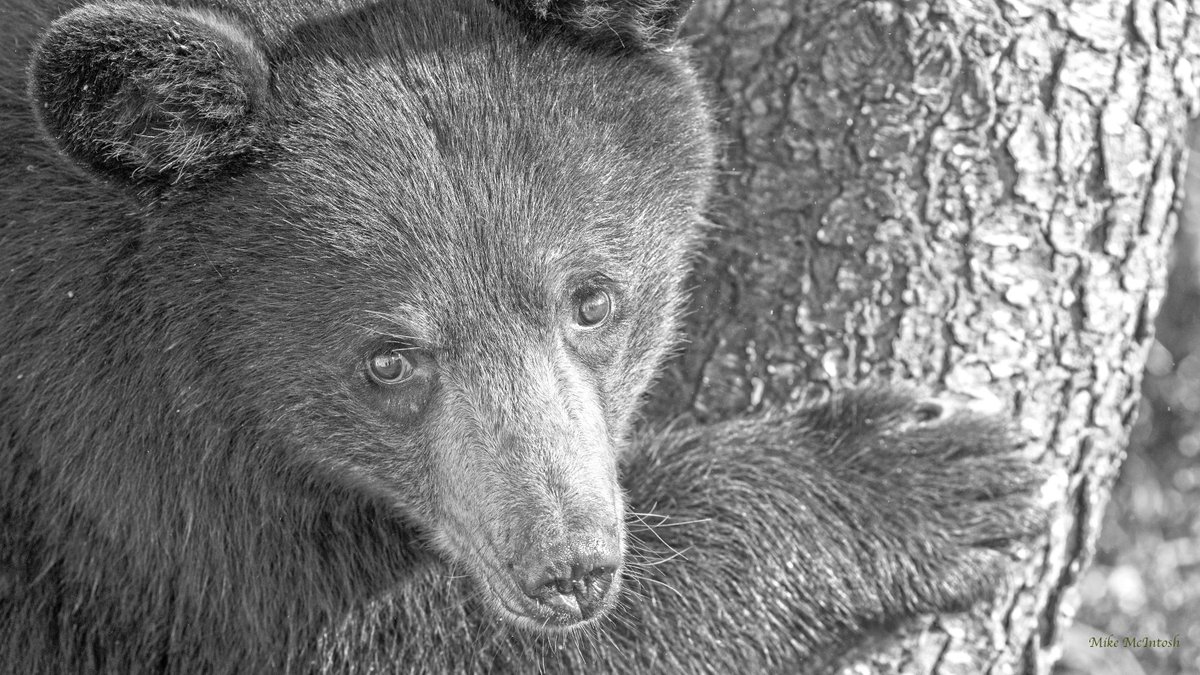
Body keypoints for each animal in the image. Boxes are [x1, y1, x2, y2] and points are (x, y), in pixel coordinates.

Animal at [0, 0, 1044, 673]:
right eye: (388, 358)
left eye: (593, 300)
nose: (570, 571)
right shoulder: (120, 481)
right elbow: (395, 639)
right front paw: (928, 475)